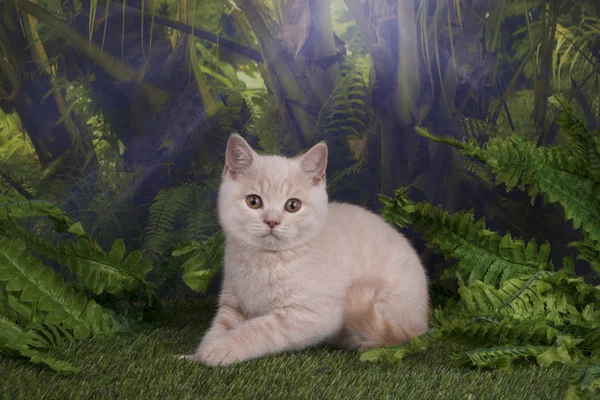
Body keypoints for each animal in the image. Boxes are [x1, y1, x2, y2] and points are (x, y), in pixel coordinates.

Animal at [185, 134, 428, 366]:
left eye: (293, 205)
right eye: (253, 201)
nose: (272, 221)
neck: (264, 261)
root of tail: (422, 322)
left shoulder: (307, 315)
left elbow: (259, 330)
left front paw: (220, 349)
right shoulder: (232, 302)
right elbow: (219, 326)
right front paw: (199, 352)